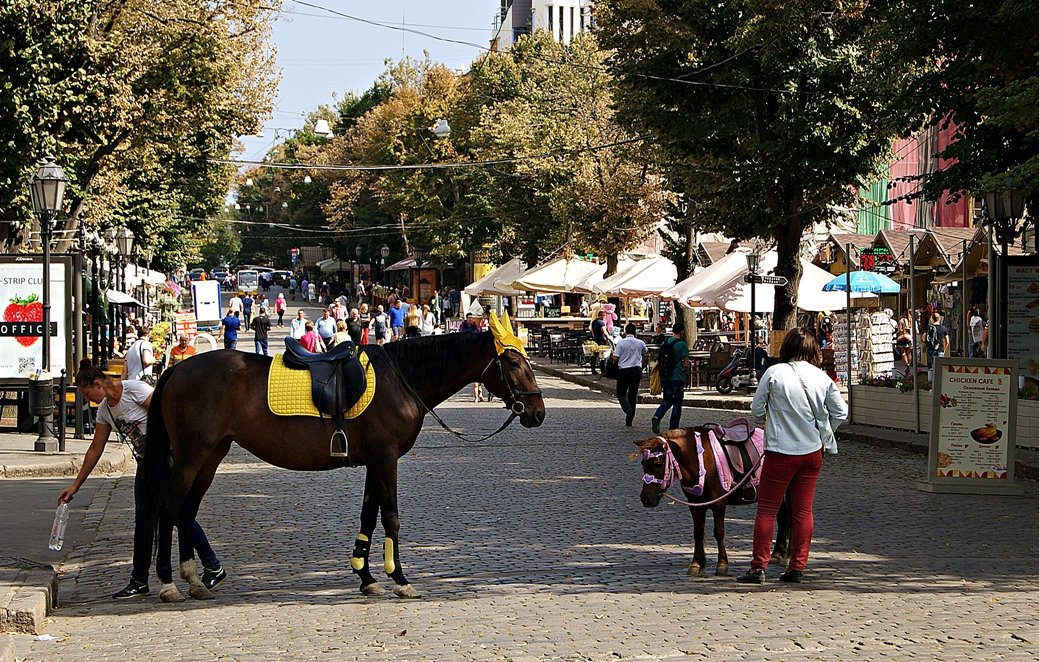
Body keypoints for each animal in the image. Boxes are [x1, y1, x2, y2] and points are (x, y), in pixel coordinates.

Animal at [143, 318, 548, 602]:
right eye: (513, 363)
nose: (537, 412)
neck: (401, 380)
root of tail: (176, 369)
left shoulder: (373, 461)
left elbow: (368, 516)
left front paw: (367, 577)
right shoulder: (386, 458)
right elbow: (391, 517)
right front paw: (400, 579)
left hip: (210, 456)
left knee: (186, 512)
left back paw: (194, 581)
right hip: (192, 456)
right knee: (168, 508)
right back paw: (167, 584)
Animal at [631, 426, 785, 577]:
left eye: (658, 463)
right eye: (643, 463)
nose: (645, 498)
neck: (700, 461)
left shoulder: (719, 504)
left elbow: (719, 532)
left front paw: (722, 564)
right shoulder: (695, 505)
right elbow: (698, 532)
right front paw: (696, 563)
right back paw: (779, 554)